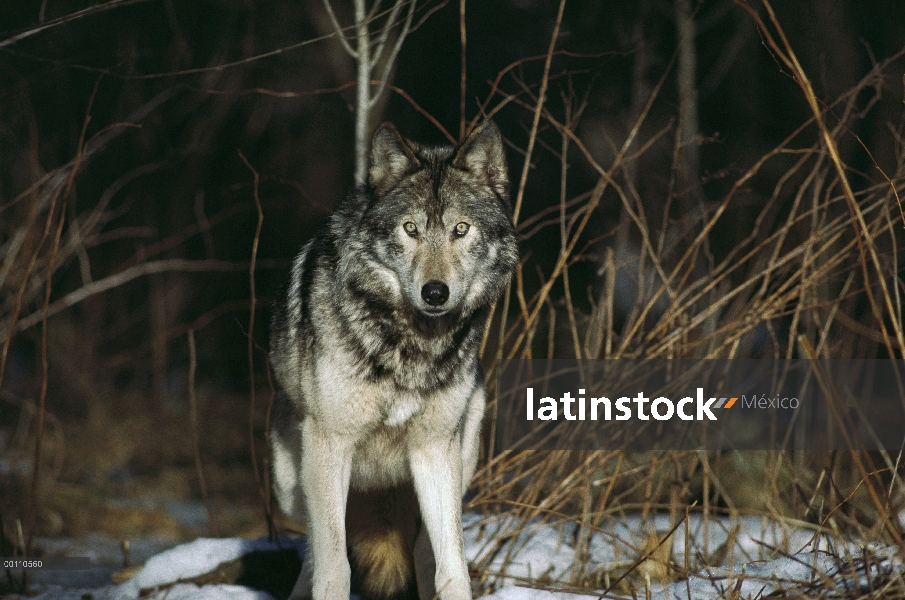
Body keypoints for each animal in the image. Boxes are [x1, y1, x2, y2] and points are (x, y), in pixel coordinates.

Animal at [268, 120, 516, 600]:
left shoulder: (435, 448)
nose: (435, 293)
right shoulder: (330, 442)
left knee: (423, 548)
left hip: (462, 458)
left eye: (461, 229)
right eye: (410, 229)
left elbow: (453, 566)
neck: (412, 344)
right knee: (313, 550)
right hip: (293, 482)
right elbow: (334, 569)